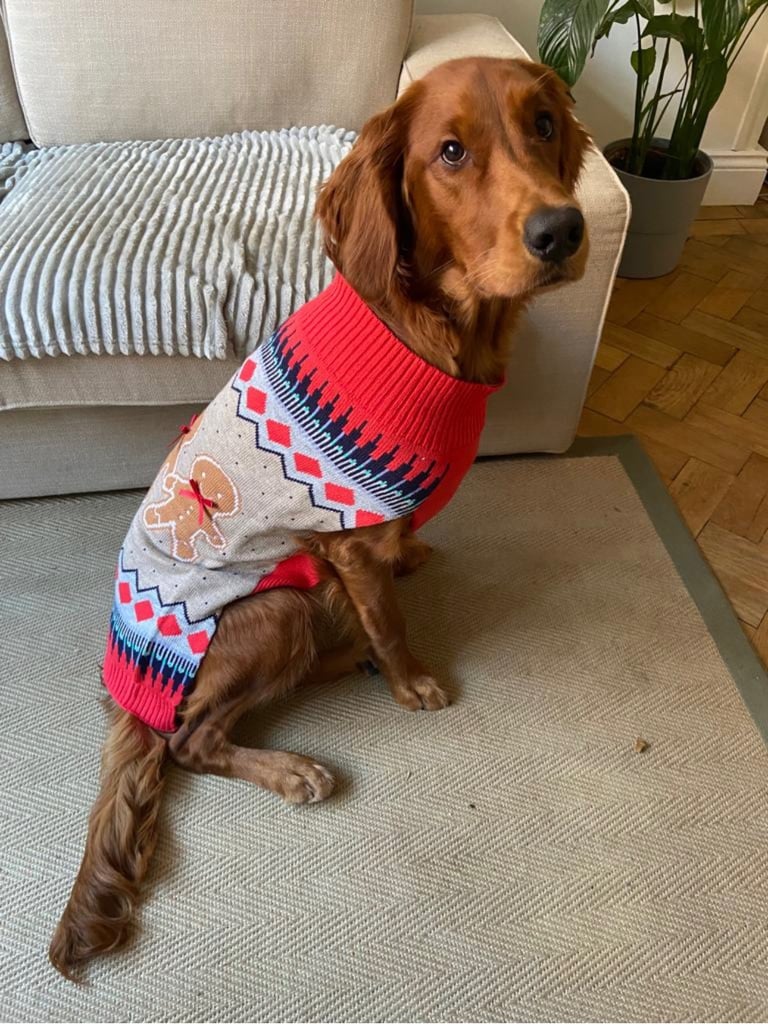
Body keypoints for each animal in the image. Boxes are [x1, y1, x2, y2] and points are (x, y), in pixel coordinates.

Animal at [49, 56, 589, 980]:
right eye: (451, 152)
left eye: (545, 123)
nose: (562, 230)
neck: (431, 329)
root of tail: (125, 684)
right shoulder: (351, 540)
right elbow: (393, 619)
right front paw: (412, 679)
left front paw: (412, 573)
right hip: (275, 611)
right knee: (190, 739)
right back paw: (295, 764)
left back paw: (343, 661)